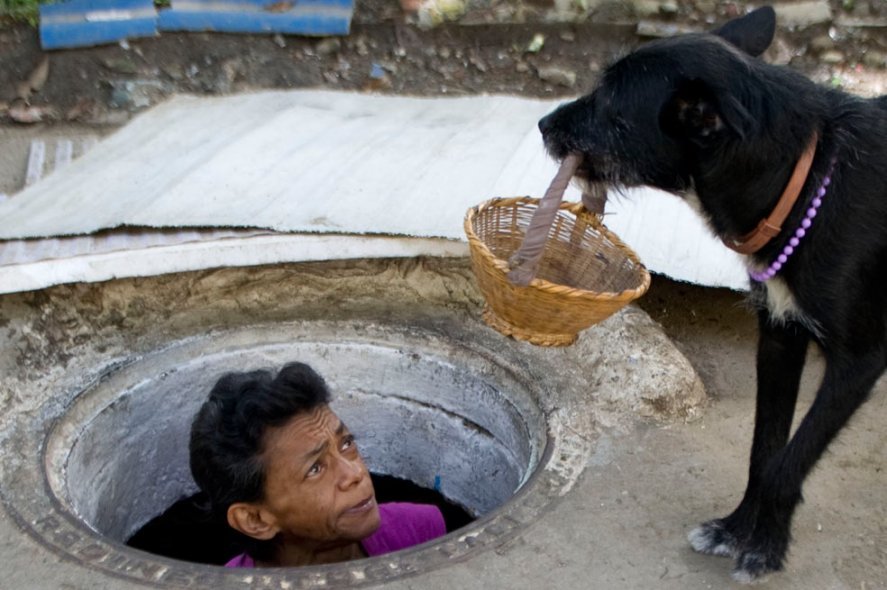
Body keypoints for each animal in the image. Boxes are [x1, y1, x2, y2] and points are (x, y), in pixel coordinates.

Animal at [536, 5, 884, 588]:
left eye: (612, 107)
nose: (542, 124)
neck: (810, 179)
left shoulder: (858, 361)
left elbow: (789, 461)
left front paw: (765, 547)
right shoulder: (779, 336)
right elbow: (764, 449)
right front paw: (735, 527)